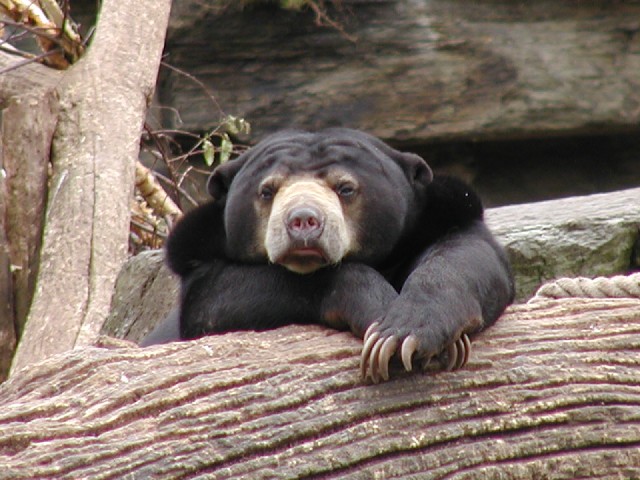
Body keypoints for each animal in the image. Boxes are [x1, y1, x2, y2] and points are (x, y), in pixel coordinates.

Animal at [142, 127, 516, 382]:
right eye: (267, 191)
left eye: (345, 188)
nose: (303, 221)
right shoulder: (196, 254)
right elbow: (216, 300)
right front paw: (379, 316)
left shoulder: (448, 214)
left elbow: (467, 257)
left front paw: (406, 336)